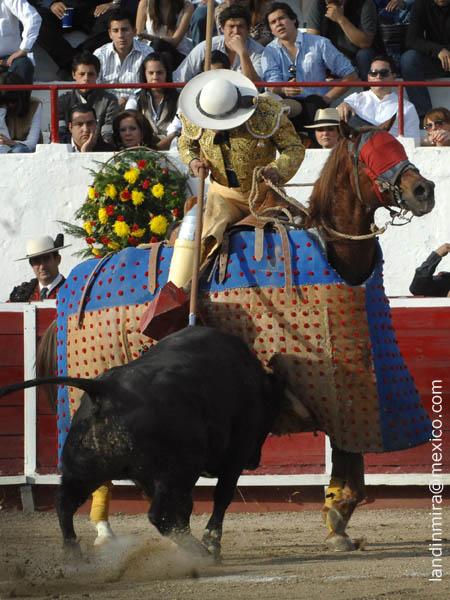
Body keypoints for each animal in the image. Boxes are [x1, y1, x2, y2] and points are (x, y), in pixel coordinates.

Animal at [0, 326, 282, 560]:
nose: (255, 461)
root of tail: (103, 390)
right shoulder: (234, 457)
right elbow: (221, 496)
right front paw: (212, 542)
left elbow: (185, 507)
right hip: (174, 472)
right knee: (158, 514)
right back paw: (201, 552)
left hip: (83, 471)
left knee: (64, 502)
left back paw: (73, 556)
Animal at [44, 118, 434, 552]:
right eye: (368, 157)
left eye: (398, 147)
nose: (424, 191)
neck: (338, 257)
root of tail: (78, 277)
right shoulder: (338, 390)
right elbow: (348, 454)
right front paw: (336, 518)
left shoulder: (354, 394)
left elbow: (352, 456)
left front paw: (338, 518)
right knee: (102, 481)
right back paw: (107, 533)